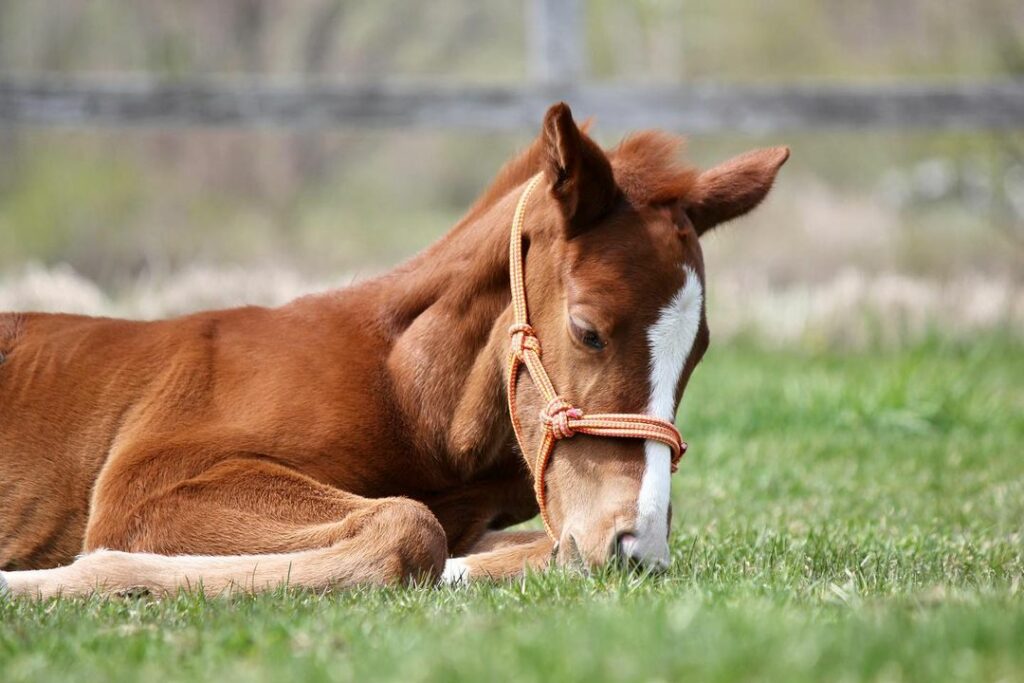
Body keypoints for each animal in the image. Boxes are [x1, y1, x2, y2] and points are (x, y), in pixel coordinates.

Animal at [0, 102, 786, 598]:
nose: (636, 546)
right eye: (588, 329)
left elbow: (514, 549)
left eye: (698, 351)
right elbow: (410, 528)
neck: (411, 399)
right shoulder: (149, 484)